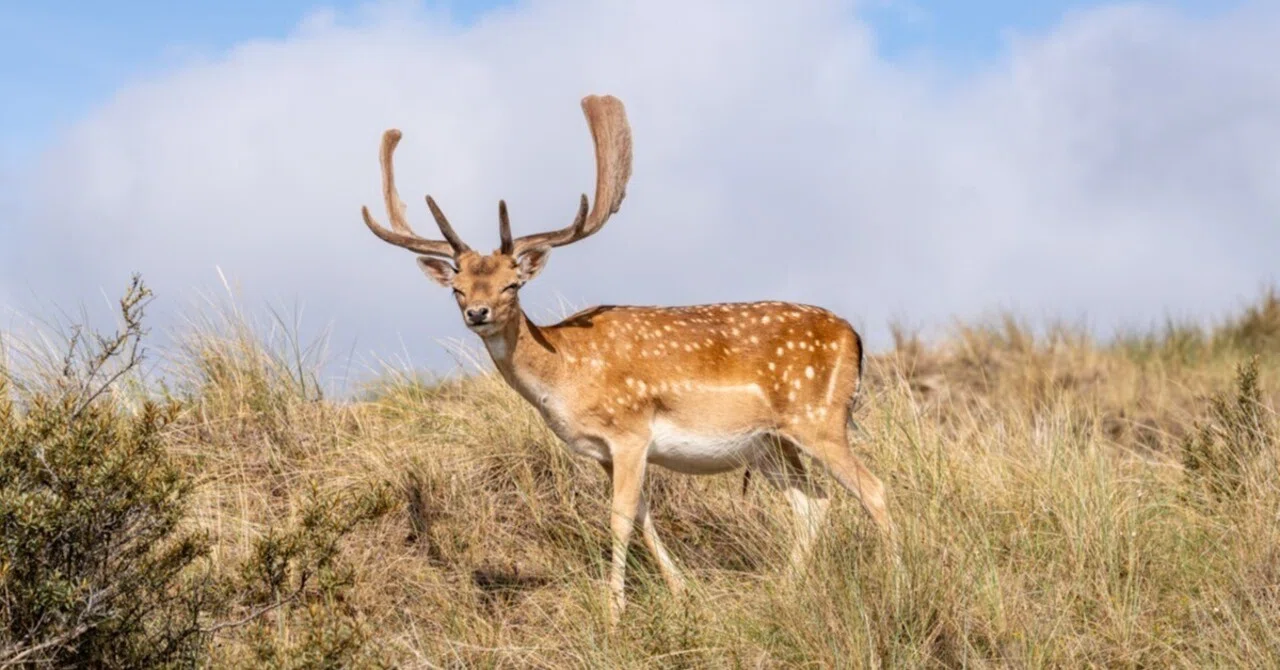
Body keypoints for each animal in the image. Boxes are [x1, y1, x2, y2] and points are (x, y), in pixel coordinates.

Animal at [359, 94, 896, 626]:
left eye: (513, 284)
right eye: (458, 288)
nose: (478, 313)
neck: (565, 374)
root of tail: (854, 337)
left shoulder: (630, 432)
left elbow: (619, 518)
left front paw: (614, 612)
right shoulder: (602, 451)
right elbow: (642, 516)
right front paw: (682, 594)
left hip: (820, 419)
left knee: (873, 489)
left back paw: (897, 580)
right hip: (770, 445)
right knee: (813, 504)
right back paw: (784, 591)